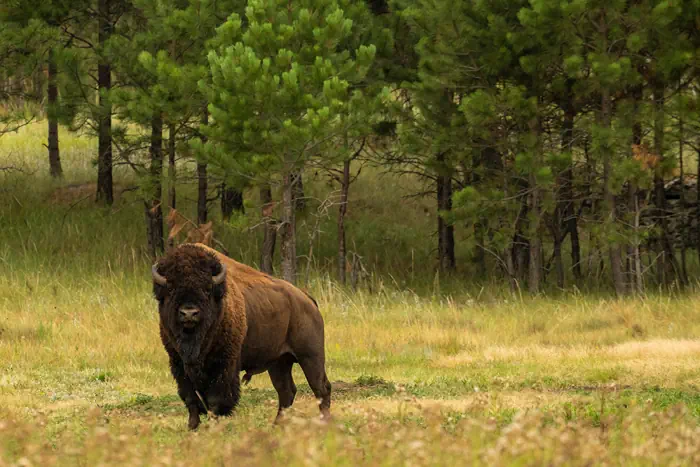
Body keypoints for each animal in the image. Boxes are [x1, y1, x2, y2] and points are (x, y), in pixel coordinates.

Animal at [150, 245, 330, 432]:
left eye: (207, 289)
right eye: (171, 289)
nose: (189, 313)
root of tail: (306, 299)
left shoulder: (223, 365)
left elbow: (215, 399)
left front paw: (214, 425)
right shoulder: (179, 364)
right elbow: (191, 398)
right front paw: (192, 426)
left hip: (310, 357)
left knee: (321, 388)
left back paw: (324, 422)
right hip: (279, 363)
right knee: (287, 391)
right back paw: (276, 425)